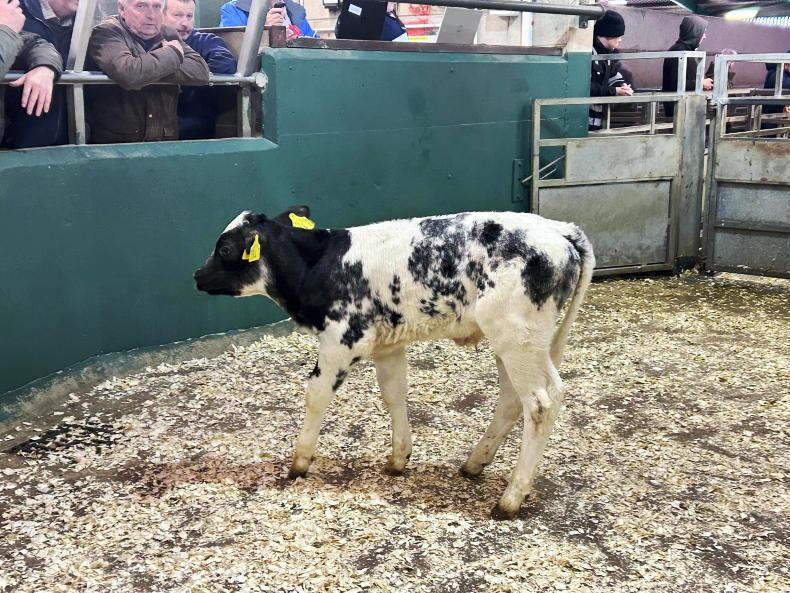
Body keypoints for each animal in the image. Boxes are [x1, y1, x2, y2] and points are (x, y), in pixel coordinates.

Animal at [194, 206, 594, 519]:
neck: (319, 265)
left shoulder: (342, 339)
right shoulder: (388, 345)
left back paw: (510, 498)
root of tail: (561, 229)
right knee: (515, 398)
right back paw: (475, 463)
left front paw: (300, 462)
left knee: (541, 403)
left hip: (517, 337)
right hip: (517, 342)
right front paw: (398, 458)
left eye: (225, 247)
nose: (197, 276)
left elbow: (315, 395)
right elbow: (394, 395)